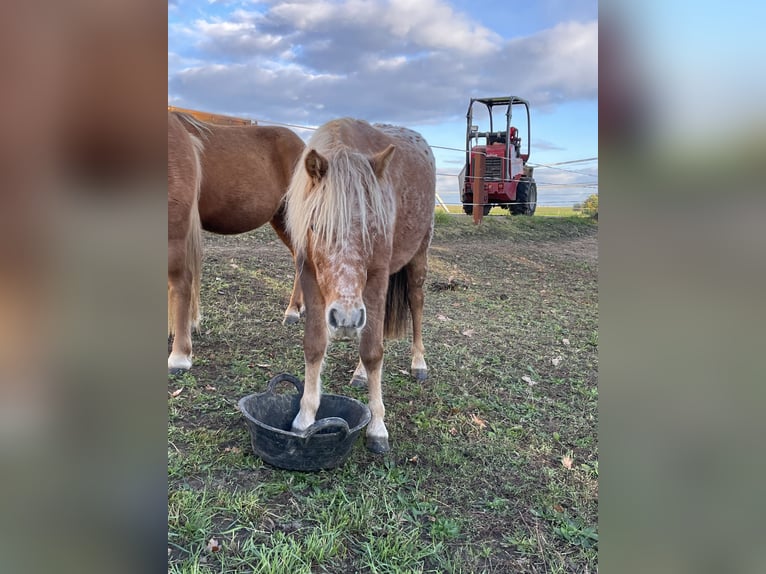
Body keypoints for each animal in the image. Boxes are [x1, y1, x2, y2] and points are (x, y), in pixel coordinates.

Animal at [284, 119, 436, 456]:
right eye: (315, 226)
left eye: (371, 228)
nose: (345, 319)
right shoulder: (309, 277)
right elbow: (314, 345)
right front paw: (304, 418)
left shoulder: (377, 278)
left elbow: (373, 351)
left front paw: (377, 427)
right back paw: (359, 374)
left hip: (417, 259)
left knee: (416, 303)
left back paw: (419, 363)